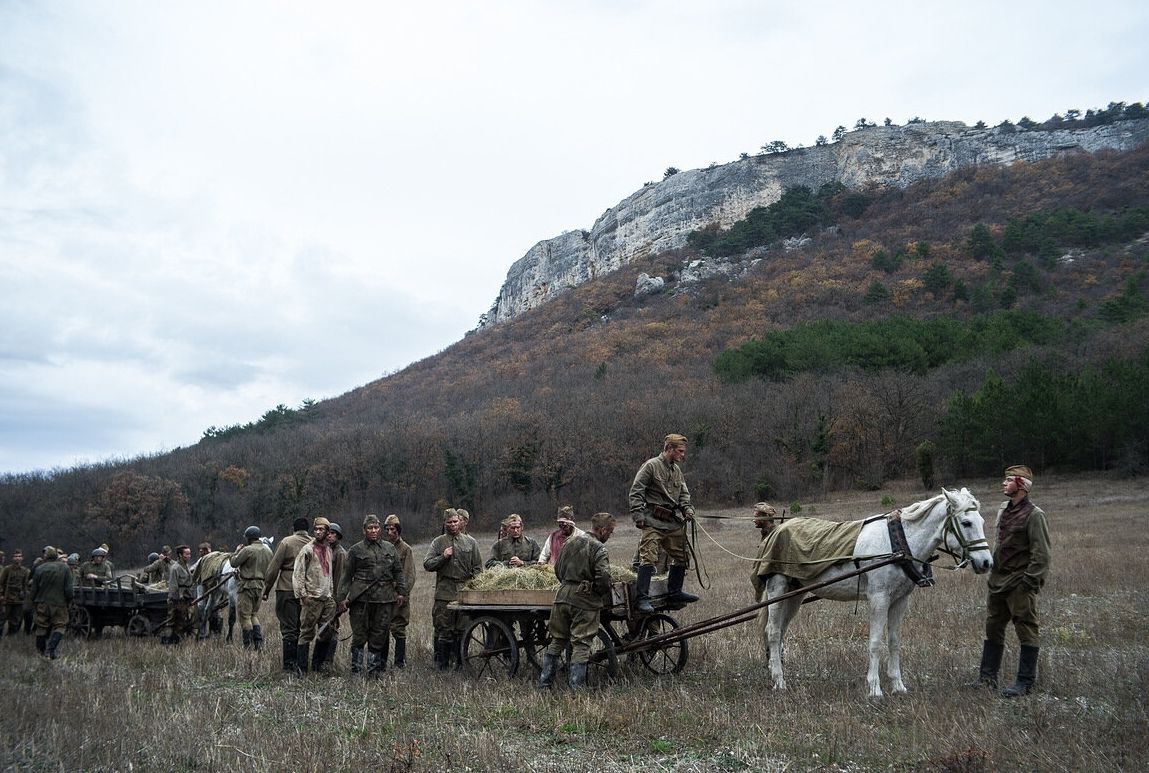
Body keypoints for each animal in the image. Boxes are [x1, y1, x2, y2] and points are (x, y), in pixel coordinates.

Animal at [758, 489, 992, 698]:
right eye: (966, 523)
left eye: (981, 521)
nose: (986, 563)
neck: (898, 542)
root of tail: (776, 531)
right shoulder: (879, 598)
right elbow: (875, 642)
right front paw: (874, 688)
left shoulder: (900, 600)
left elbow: (894, 641)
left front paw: (898, 686)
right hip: (777, 588)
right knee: (773, 631)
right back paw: (779, 681)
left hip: (794, 594)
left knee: (780, 631)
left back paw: (775, 671)